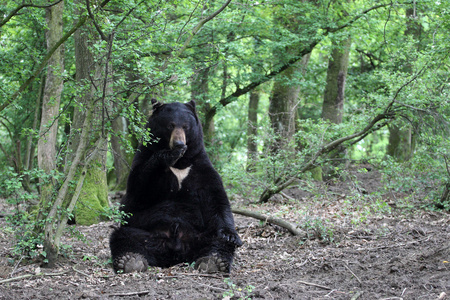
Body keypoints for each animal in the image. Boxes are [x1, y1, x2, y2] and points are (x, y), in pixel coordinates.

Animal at [109, 99, 243, 274]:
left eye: (186, 126)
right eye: (170, 125)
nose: (179, 143)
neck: (180, 164)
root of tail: (175, 251)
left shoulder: (200, 167)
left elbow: (217, 200)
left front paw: (230, 234)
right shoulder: (143, 156)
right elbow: (136, 192)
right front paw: (168, 155)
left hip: (200, 235)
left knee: (217, 240)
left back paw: (214, 260)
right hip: (145, 234)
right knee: (123, 236)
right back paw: (130, 260)